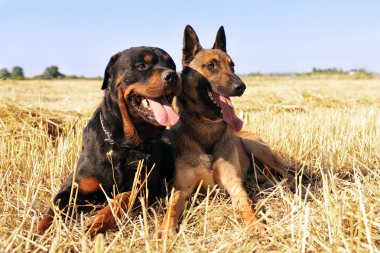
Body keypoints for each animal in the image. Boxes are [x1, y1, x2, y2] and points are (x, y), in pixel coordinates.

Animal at [38, 46, 181, 236]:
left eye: (171, 65)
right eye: (141, 65)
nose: (173, 75)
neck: (124, 143)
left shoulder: (145, 187)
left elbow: (122, 197)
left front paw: (98, 221)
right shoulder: (74, 187)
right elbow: (55, 207)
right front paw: (40, 229)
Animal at [160, 25, 294, 235]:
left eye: (233, 66)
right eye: (211, 65)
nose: (241, 87)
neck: (207, 127)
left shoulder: (234, 185)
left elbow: (246, 206)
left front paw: (255, 224)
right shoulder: (182, 189)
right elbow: (172, 207)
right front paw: (165, 227)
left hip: (255, 147)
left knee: (289, 174)